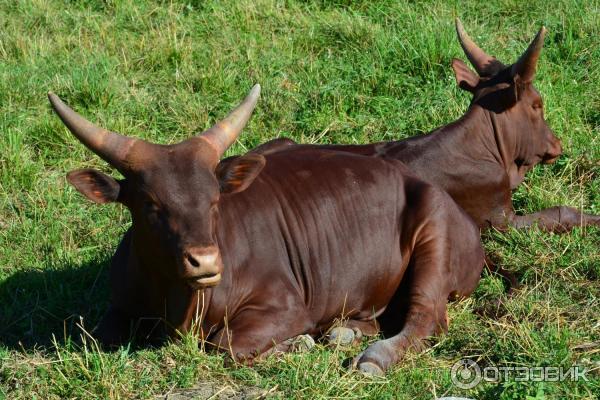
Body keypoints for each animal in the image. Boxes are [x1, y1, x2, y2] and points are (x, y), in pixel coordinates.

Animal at [49, 85, 486, 376]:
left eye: (214, 201)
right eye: (150, 205)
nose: (205, 262)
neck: (176, 299)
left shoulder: (286, 307)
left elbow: (224, 345)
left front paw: (297, 344)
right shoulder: (118, 307)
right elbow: (97, 335)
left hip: (434, 235)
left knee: (426, 317)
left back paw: (373, 356)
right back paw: (344, 331)